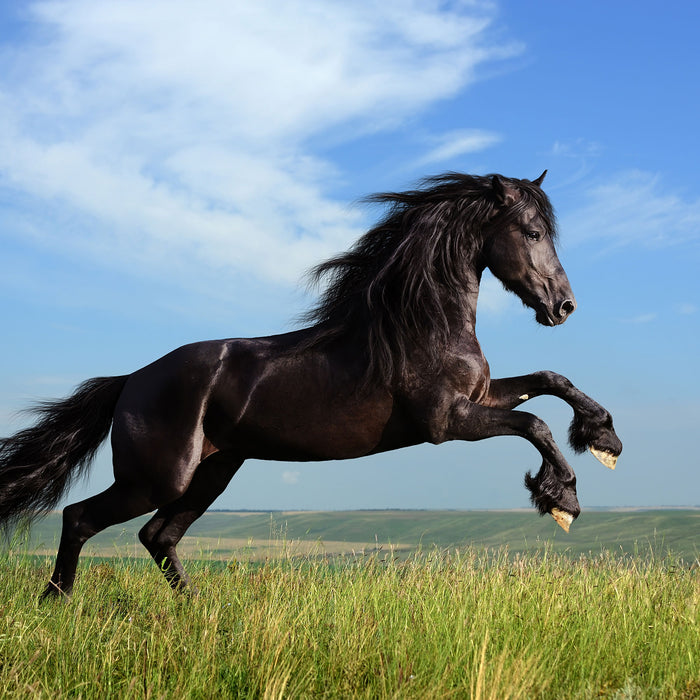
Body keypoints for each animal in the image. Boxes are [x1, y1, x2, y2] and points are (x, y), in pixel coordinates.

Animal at [1, 171, 624, 596]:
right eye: (533, 231)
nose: (564, 306)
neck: (420, 324)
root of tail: (131, 380)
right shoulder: (449, 421)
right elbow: (533, 421)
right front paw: (562, 498)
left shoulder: (477, 398)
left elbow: (549, 379)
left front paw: (604, 440)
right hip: (157, 478)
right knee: (81, 518)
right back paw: (58, 602)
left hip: (212, 472)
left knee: (159, 537)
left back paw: (200, 612)